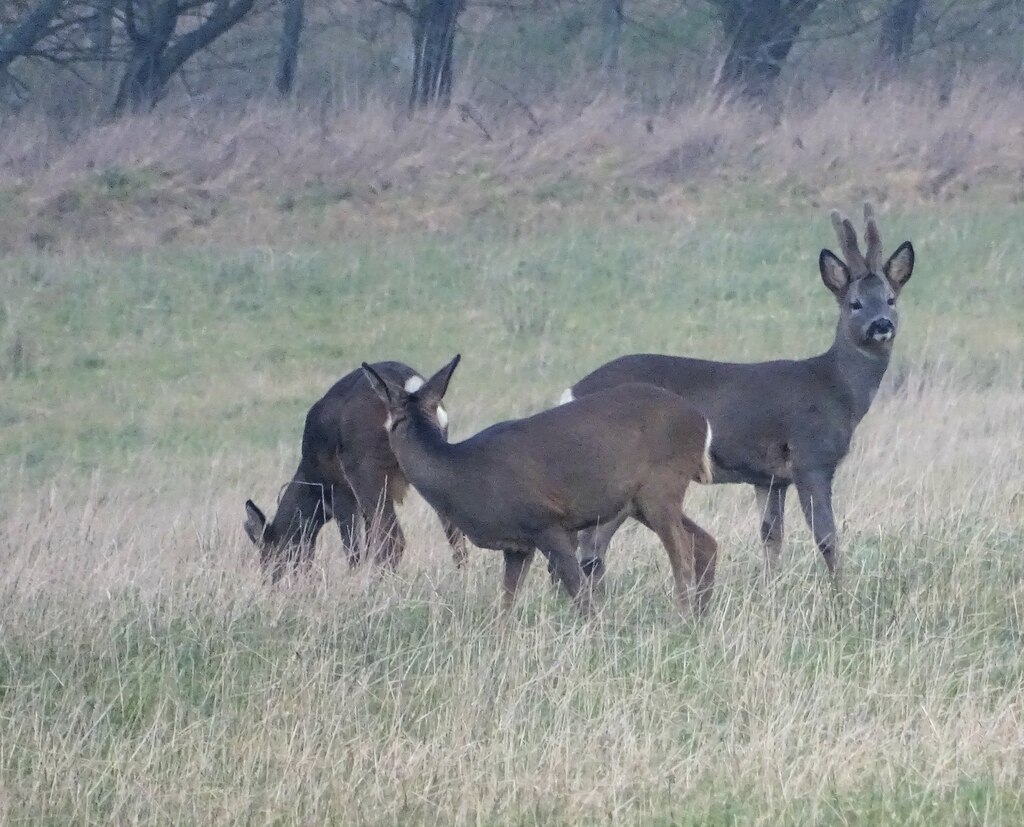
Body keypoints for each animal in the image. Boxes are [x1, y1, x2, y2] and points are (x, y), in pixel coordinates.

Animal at [241, 360, 466, 581]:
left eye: (269, 558)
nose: (272, 583)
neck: (313, 483)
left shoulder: (340, 489)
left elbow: (353, 547)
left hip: (365, 470)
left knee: (393, 539)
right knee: (454, 533)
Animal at [364, 352, 716, 618]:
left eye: (388, 422)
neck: (461, 473)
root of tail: (701, 421)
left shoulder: (545, 522)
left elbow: (581, 595)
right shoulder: (517, 546)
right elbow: (506, 606)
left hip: (661, 488)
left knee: (683, 556)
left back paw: (682, 617)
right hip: (642, 501)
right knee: (704, 543)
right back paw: (698, 616)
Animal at [565, 205, 917, 589]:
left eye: (891, 299)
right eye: (854, 303)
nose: (882, 324)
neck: (835, 388)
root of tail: (572, 392)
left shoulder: (769, 477)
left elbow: (771, 536)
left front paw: (772, 589)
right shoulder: (812, 458)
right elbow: (826, 536)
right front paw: (842, 593)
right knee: (590, 544)